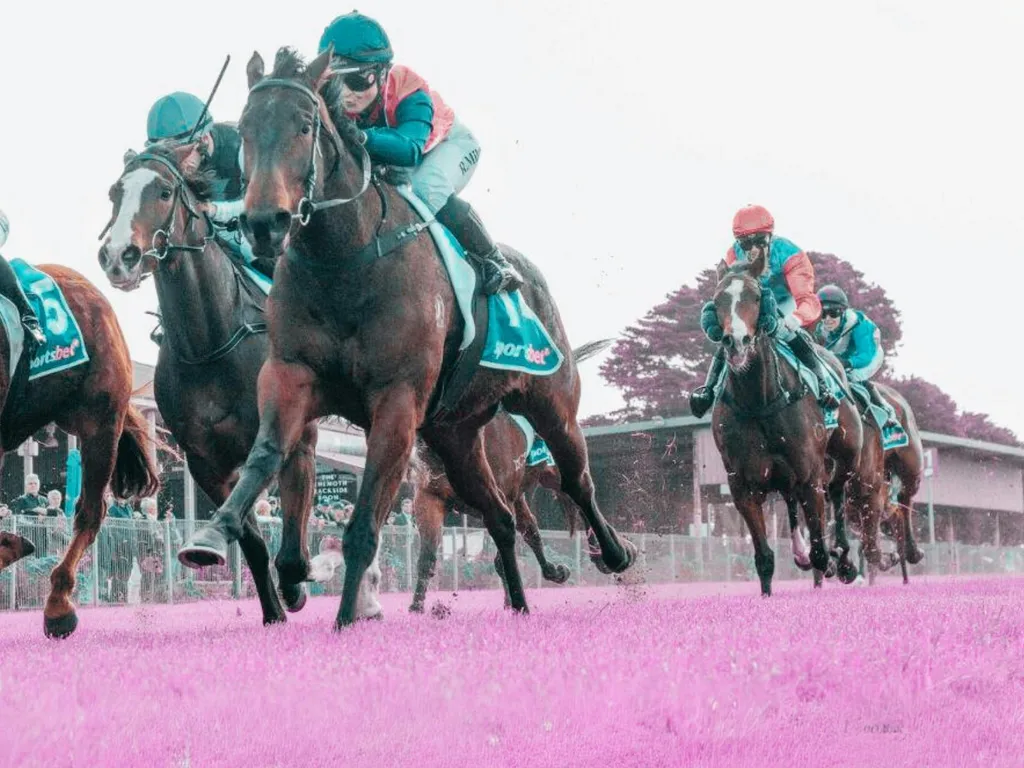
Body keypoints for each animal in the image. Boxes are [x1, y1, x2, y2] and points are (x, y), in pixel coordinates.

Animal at [96, 143, 294, 626]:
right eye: (114, 192)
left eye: (165, 191)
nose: (118, 256)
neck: (211, 343)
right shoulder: (205, 460)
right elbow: (249, 534)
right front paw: (273, 612)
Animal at [180, 45, 634, 626]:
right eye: (245, 129)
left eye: (304, 125)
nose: (264, 222)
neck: (345, 258)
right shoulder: (291, 374)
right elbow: (265, 454)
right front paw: (216, 536)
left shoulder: (396, 399)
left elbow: (364, 521)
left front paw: (346, 618)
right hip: (454, 433)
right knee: (500, 515)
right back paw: (518, 603)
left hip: (550, 400)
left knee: (577, 478)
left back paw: (615, 552)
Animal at [712, 256, 864, 598]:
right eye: (716, 301)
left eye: (756, 297)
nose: (735, 342)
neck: (760, 402)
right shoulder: (743, 487)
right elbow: (764, 557)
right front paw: (767, 595)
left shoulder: (811, 478)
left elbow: (821, 550)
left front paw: (831, 561)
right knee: (792, 504)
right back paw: (801, 552)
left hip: (845, 459)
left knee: (838, 496)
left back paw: (844, 559)